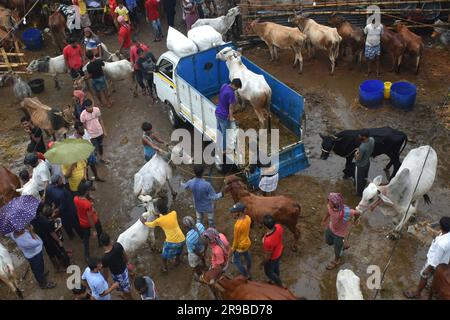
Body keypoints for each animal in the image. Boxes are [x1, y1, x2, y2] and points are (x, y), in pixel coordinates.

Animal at [372, 145, 432, 300]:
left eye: (372, 198)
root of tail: (427, 147)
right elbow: (395, 221)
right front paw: (394, 231)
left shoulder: (407, 209)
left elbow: (403, 220)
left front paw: (395, 233)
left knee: (417, 201)